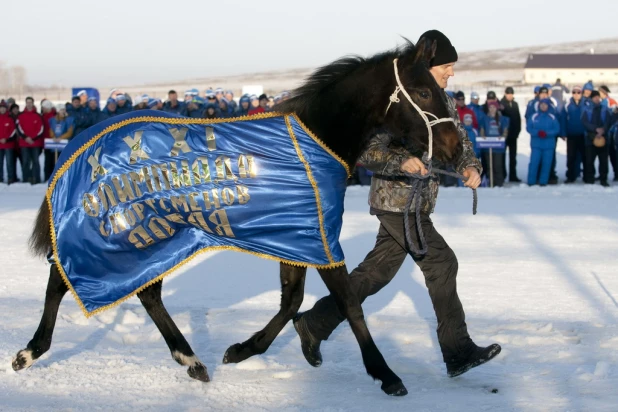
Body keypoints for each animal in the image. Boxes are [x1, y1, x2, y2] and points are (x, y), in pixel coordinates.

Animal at [12, 37, 460, 398]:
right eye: (423, 90)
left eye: (440, 87)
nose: (455, 148)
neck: (314, 140)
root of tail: (82, 144)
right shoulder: (317, 236)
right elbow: (349, 302)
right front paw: (386, 374)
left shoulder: (296, 231)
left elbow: (292, 300)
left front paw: (245, 349)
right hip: (119, 234)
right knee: (62, 278)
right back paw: (29, 352)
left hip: (150, 238)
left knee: (145, 292)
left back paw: (191, 360)